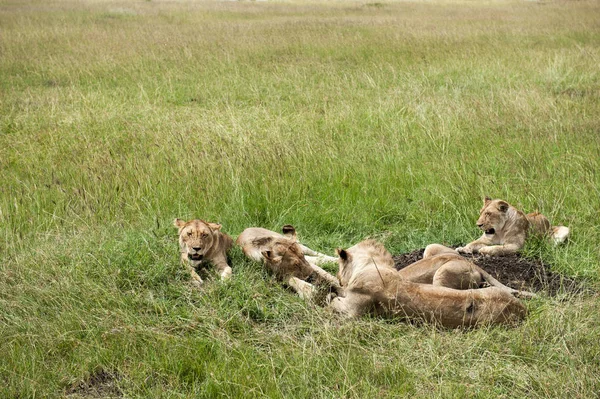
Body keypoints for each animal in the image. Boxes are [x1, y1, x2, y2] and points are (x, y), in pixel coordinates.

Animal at [326, 241, 528, 328]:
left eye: (339, 267)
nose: (338, 276)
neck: (370, 265)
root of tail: (522, 309)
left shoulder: (352, 312)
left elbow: (334, 301)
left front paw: (330, 293)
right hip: (432, 250)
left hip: (442, 273)